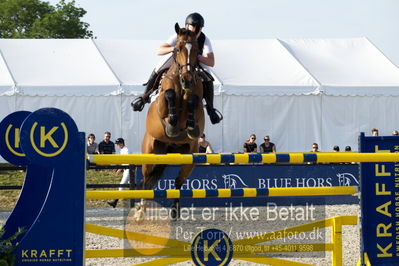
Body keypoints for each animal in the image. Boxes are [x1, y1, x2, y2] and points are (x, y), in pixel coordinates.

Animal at [138, 23, 206, 220]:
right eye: (177, 49)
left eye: (197, 50)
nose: (187, 79)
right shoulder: (161, 107)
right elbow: (168, 95)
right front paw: (172, 125)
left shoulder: (197, 104)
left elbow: (193, 101)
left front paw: (190, 127)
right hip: (149, 151)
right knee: (145, 180)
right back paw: (140, 211)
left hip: (190, 155)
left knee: (178, 181)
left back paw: (175, 210)